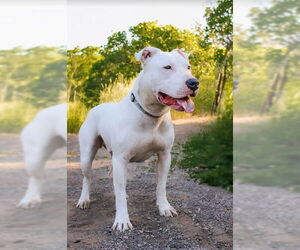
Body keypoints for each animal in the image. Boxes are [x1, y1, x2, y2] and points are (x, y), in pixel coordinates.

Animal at [77, 47, 199, 230]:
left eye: (188, 67)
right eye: (167, 67)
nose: (194, 82)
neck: (151, 115)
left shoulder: (164, 155)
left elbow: (161, 185)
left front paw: (164, 207)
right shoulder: (121, 159)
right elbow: (120, 190)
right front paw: (122, 220)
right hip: (87, 155)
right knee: (87, 178)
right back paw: (84, 199)